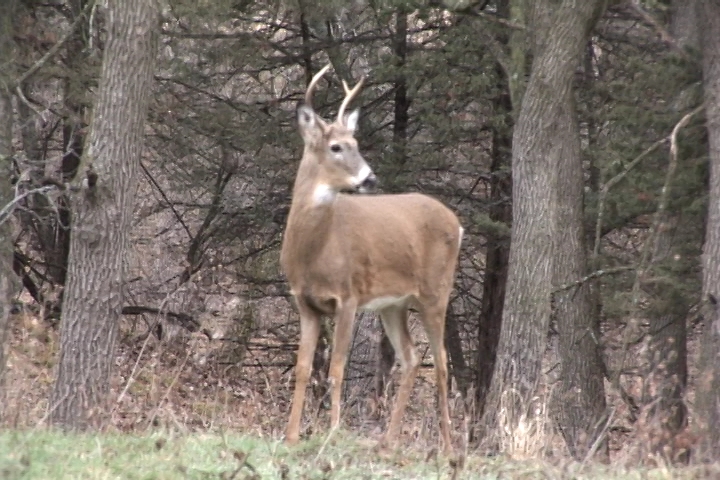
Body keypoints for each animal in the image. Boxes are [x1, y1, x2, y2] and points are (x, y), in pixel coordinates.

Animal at [282, 63, 462, 454]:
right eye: (336, 146)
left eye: (357, 144)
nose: (370, 179)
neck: (313, 251)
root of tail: (458, 225)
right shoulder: (305, 302)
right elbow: (303, 368)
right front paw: (289, 436)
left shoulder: (347, 296)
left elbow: (336, 368)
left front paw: (333, 433)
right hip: (393, 304)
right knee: (411, 357)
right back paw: (388, 441)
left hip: (436, 292)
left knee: (441, 363)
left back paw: (448, 447)